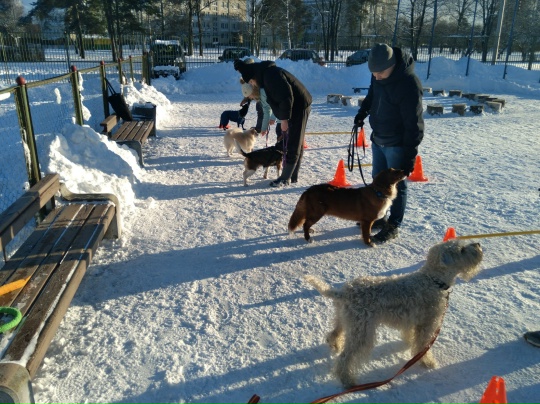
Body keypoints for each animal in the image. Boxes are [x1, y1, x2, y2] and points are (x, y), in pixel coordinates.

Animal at [305, 239, 484, 388]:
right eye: (461, 250)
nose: (478, 244)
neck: (433, 280)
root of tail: (344, 292)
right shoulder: (428, 324)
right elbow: (422, 347)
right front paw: (428, 363)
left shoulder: (413, 321)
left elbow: (411, 336)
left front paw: (409, 343)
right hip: (362, 331)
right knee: (345, 358)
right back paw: (348, 381)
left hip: (345, 320)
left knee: (334, 333)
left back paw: (335, 345)